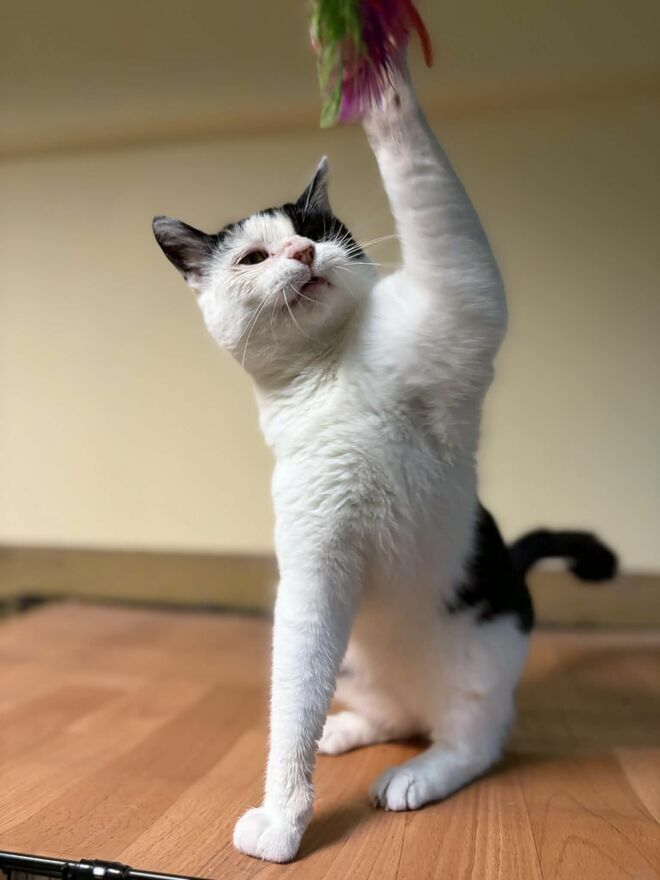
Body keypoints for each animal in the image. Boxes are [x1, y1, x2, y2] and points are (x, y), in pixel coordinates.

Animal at [153, 72, 616, 863]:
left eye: (320, 230)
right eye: (253, 258)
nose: (304, 252)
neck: (329, 372)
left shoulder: (460, 300)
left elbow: (426, 190)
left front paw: (379, 85)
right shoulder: (313, 577)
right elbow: (291, 707)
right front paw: (285, 814)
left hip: (482, 660)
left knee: (472, 742)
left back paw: (415, 775)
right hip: (356, 660)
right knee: (387, 714)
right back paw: (348, 729)